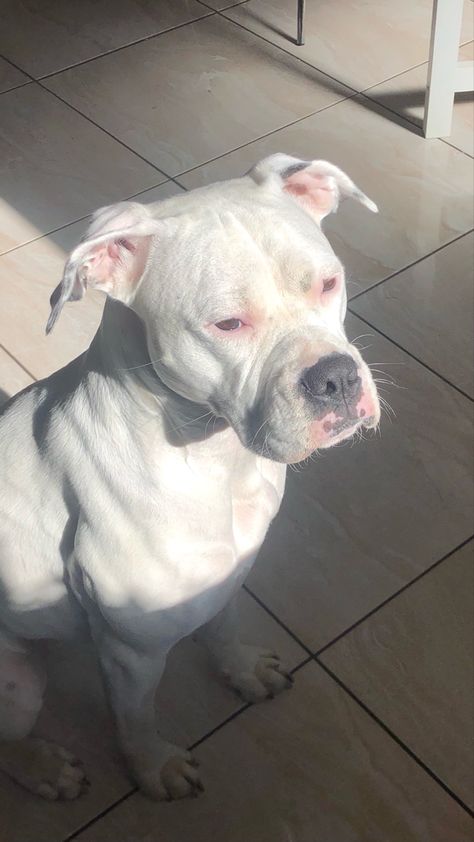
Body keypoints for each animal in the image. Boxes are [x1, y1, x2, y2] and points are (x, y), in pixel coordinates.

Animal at [0, 156, 378, 800]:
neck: (218, 459)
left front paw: (243, 670)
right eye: (227, 324)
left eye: (328, 283)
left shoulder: (225, 576)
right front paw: (155, 769)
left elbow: (224, 628)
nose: (335, 378)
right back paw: (44, 767)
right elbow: (136, 719)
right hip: (18, 682)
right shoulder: (131, 655)